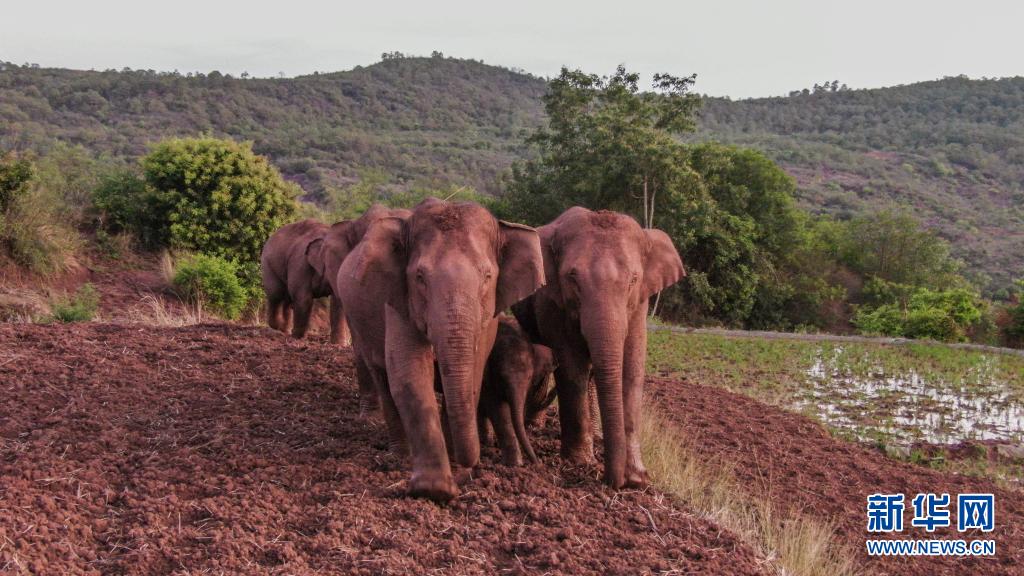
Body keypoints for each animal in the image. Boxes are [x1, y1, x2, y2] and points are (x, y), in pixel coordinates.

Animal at [335, 198, 544, 498]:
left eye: (488, 276)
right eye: (420, 277)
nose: (470, 466)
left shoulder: (489, 317)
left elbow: (474, 374)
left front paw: (454, 467)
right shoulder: (399, 300)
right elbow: (409, 374)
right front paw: (435, 489)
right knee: (381, 374)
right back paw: (399, 455)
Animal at [477, 315, 557, 463]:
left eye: (530, 377)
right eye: (500, 375)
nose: (538, 463)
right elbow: (497, 406)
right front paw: (515, 464)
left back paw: (487, 442)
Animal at [512, 208, 688, 485]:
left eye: (634, 279)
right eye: (572, 277)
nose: (613, 481)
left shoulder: (640, 304)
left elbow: (632, 368)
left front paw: (638, 477)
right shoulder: (553, 301)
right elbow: (572, 368)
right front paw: (580, 462)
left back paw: (596, 436)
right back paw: (535, 425)